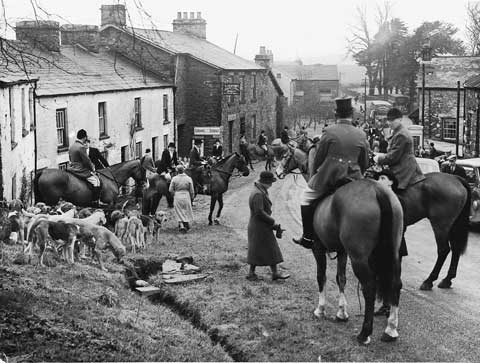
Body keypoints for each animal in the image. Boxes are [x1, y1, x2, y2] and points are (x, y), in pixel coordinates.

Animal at [276, 146, 404, 346]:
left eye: (284, 155)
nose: (277, 171)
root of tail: (377, 191)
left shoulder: (318, 249)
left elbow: (321, 277)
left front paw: (320, 310)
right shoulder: (343, 251)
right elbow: (341, 278)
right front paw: (342, 312)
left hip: (359, 257)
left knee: (369, 287)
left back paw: (365, 333)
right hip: (393, 253)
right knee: (395, 284)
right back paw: (390, 330)